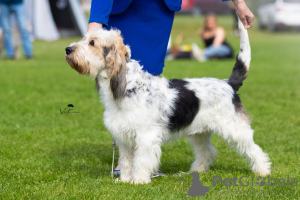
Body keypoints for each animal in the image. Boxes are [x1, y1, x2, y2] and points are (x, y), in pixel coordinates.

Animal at [65, 18, 272, 184]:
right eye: (84, 38)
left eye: (92, 43)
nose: (67, 50)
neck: (129, 86)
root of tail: (228, 84)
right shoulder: (125, 137)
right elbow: (127, 161)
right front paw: (124, 180)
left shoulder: (145, 136)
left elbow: (140, 160)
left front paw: (138, 181)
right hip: (199, 132)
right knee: (209, 151)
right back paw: (197, 170)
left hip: (235, 129)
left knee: (254, 149)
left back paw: (263, 171)